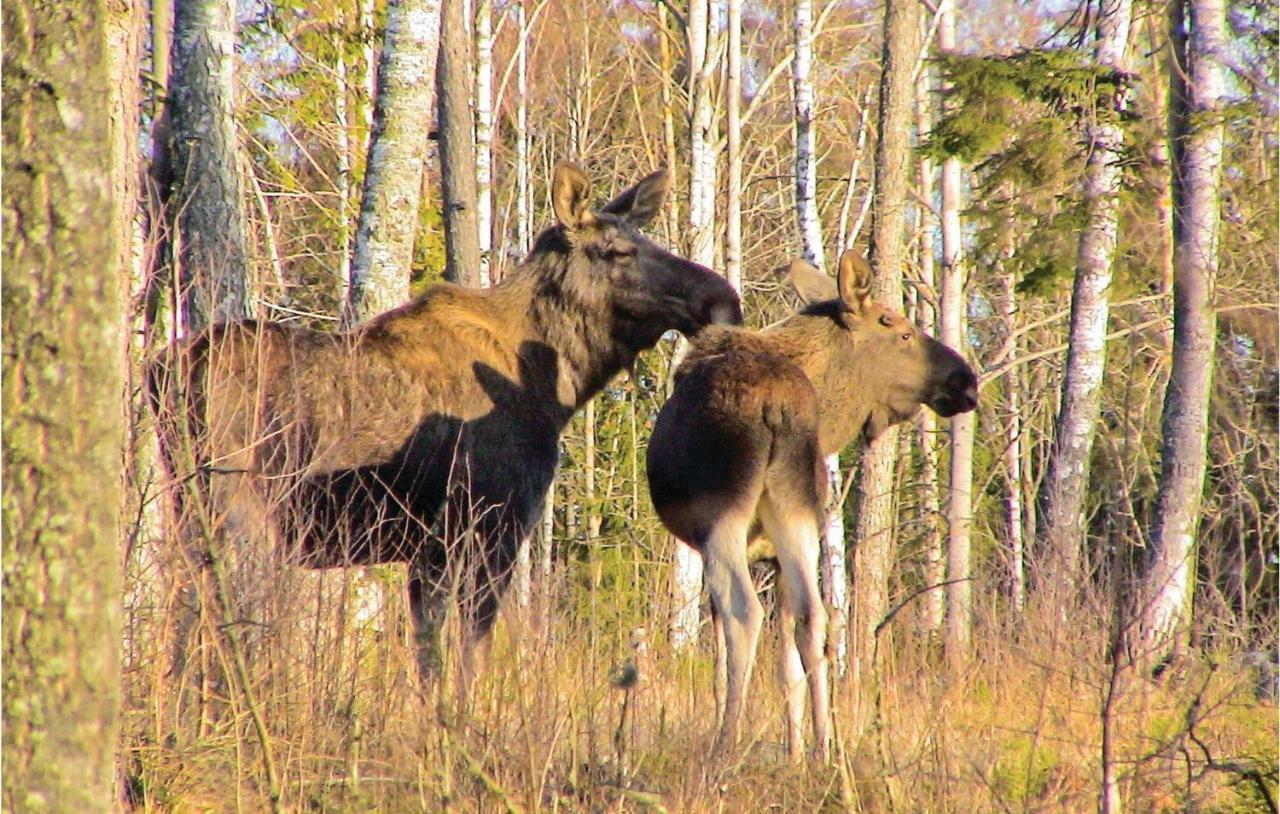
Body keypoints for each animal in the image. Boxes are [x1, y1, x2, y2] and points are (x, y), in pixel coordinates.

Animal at [650, 250, 977, 757]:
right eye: (902, 331)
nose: (967, 380)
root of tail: (776, 407)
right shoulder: (778, 552)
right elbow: (790, 663)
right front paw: (797, 747)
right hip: (797, 511)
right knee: (815, 616)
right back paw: (825, 746)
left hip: (722, 515)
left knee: (743, 612)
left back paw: (726, 745)